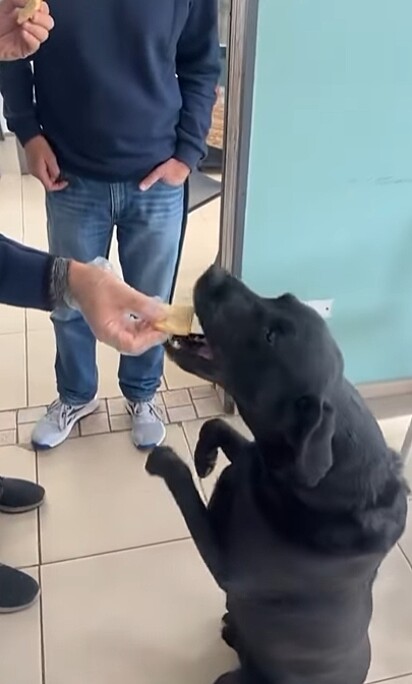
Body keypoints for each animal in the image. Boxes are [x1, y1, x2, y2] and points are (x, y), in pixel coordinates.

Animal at [146, 266, 408, 684]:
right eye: (283, 297)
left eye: (271, 337)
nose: (216, 272)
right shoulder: (258, 460)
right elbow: (218, 425)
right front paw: (205, 458)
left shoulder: (228, 567)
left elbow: (185, 486)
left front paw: (167, 460)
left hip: (235, 678)